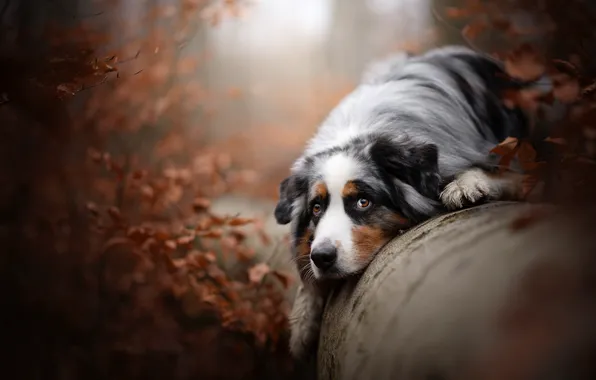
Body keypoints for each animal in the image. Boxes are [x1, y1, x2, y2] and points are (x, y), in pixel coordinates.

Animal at [274, 45, 544, 360]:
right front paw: (301, 325)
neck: (359, 133)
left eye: (363, 202)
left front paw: (465, 186)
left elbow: (501, 173)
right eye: (316, 208)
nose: (323, 257)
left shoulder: (502, 159)